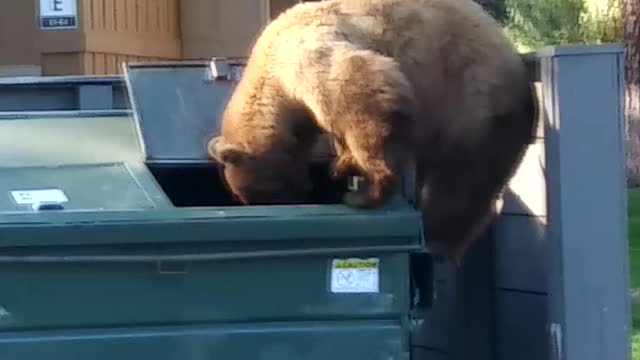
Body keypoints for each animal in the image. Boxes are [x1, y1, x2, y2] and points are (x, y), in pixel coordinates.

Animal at [208, 0, 536, 262]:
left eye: (263, 192)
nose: (293, 201)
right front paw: (342, 163)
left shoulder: (307, 55)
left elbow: (365, 94)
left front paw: (364, 191)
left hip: (472, 101)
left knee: (458, 179)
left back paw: (437, 239)